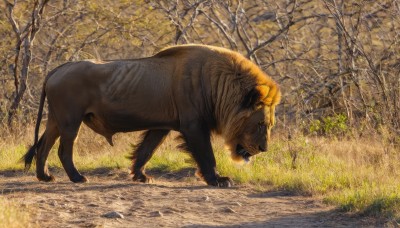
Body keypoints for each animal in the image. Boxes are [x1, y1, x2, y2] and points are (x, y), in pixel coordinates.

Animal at [23, 44, 280, 187]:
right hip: (70, 121)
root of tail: (56, 70)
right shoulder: (193, 126)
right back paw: (77, 178)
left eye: (269, 124)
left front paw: (140, 176)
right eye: (260, 124)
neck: (218, 84)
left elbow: (146, 151)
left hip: (56, 120)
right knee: (62, 150)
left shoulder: (161, 126)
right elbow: (207, 156)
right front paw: (218, 180)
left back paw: (45, 177)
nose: (265, 148)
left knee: (43, 146)